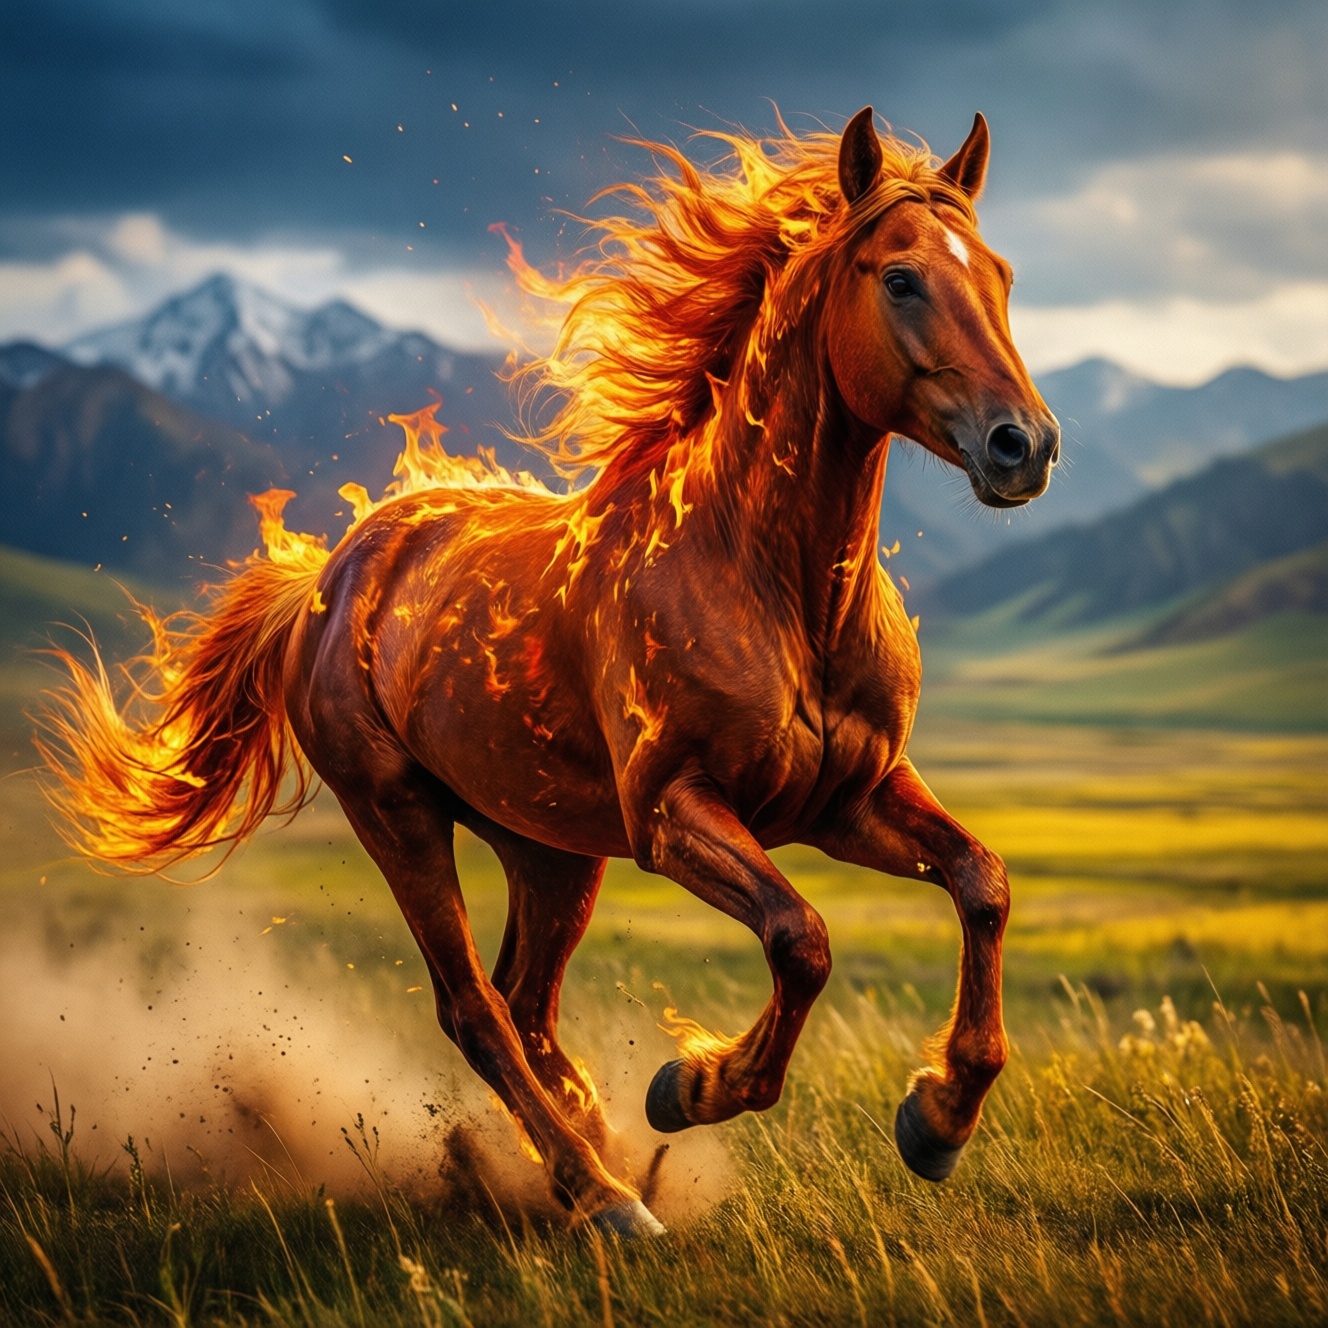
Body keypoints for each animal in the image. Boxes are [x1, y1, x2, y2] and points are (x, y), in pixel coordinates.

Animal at [38, 107, 1059, 1236]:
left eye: (1001, 274)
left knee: (526, 1008)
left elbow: (982, 882)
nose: (1023, 445)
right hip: (398, 814)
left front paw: (937, 1119)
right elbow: (802, 937)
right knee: (474, 1011)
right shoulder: (673, 814)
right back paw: (604, 1194)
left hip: (550, 848)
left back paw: (592, 1153)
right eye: (901, 278)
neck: (771, 583)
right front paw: (691, 1084)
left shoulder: (849, 799)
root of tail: (328, 576)